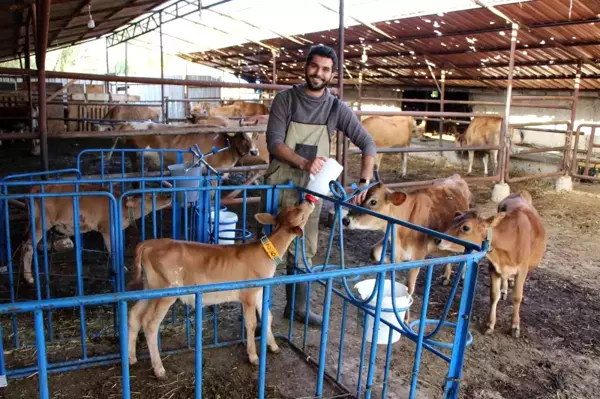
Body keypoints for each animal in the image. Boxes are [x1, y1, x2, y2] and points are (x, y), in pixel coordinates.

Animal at [21, 184, 171, 284]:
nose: (169, 195)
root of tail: (34, 188)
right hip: (40, 224)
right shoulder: (106, 229)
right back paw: (28, 277)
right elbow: (112, 249)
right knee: (27, 247)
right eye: (150, 196)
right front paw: (119, 268)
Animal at [127, 198, 318, 380]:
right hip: (166, 291)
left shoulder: (259, 291)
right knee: (150, 323)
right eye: (301, 214)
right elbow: (251, 323)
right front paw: (253, 356)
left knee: (134, 314)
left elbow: (268, 317)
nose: (307, 201)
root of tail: (150, 244)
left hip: (150, 286)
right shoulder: (248, 294)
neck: (266, 254)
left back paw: (131, 358)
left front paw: (274, 346)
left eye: (293, 207)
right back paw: (159, 370)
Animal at [342, 173, 474, 320]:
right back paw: (446, 276)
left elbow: (409, 286)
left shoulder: (418, 254)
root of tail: (457, 176)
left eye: (373, 202)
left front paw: (405, 318)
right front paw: (393, 260)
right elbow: (374, 252)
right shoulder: (391, 239)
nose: (345, 220)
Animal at [436, 192, 548, 340]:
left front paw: (515, 326)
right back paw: (504, 289)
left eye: (466, 227)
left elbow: (517, 297)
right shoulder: (493, 268)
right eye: (453, 221)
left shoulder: (522, 270)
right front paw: (490, 325)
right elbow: (494, 295)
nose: (438, 239)